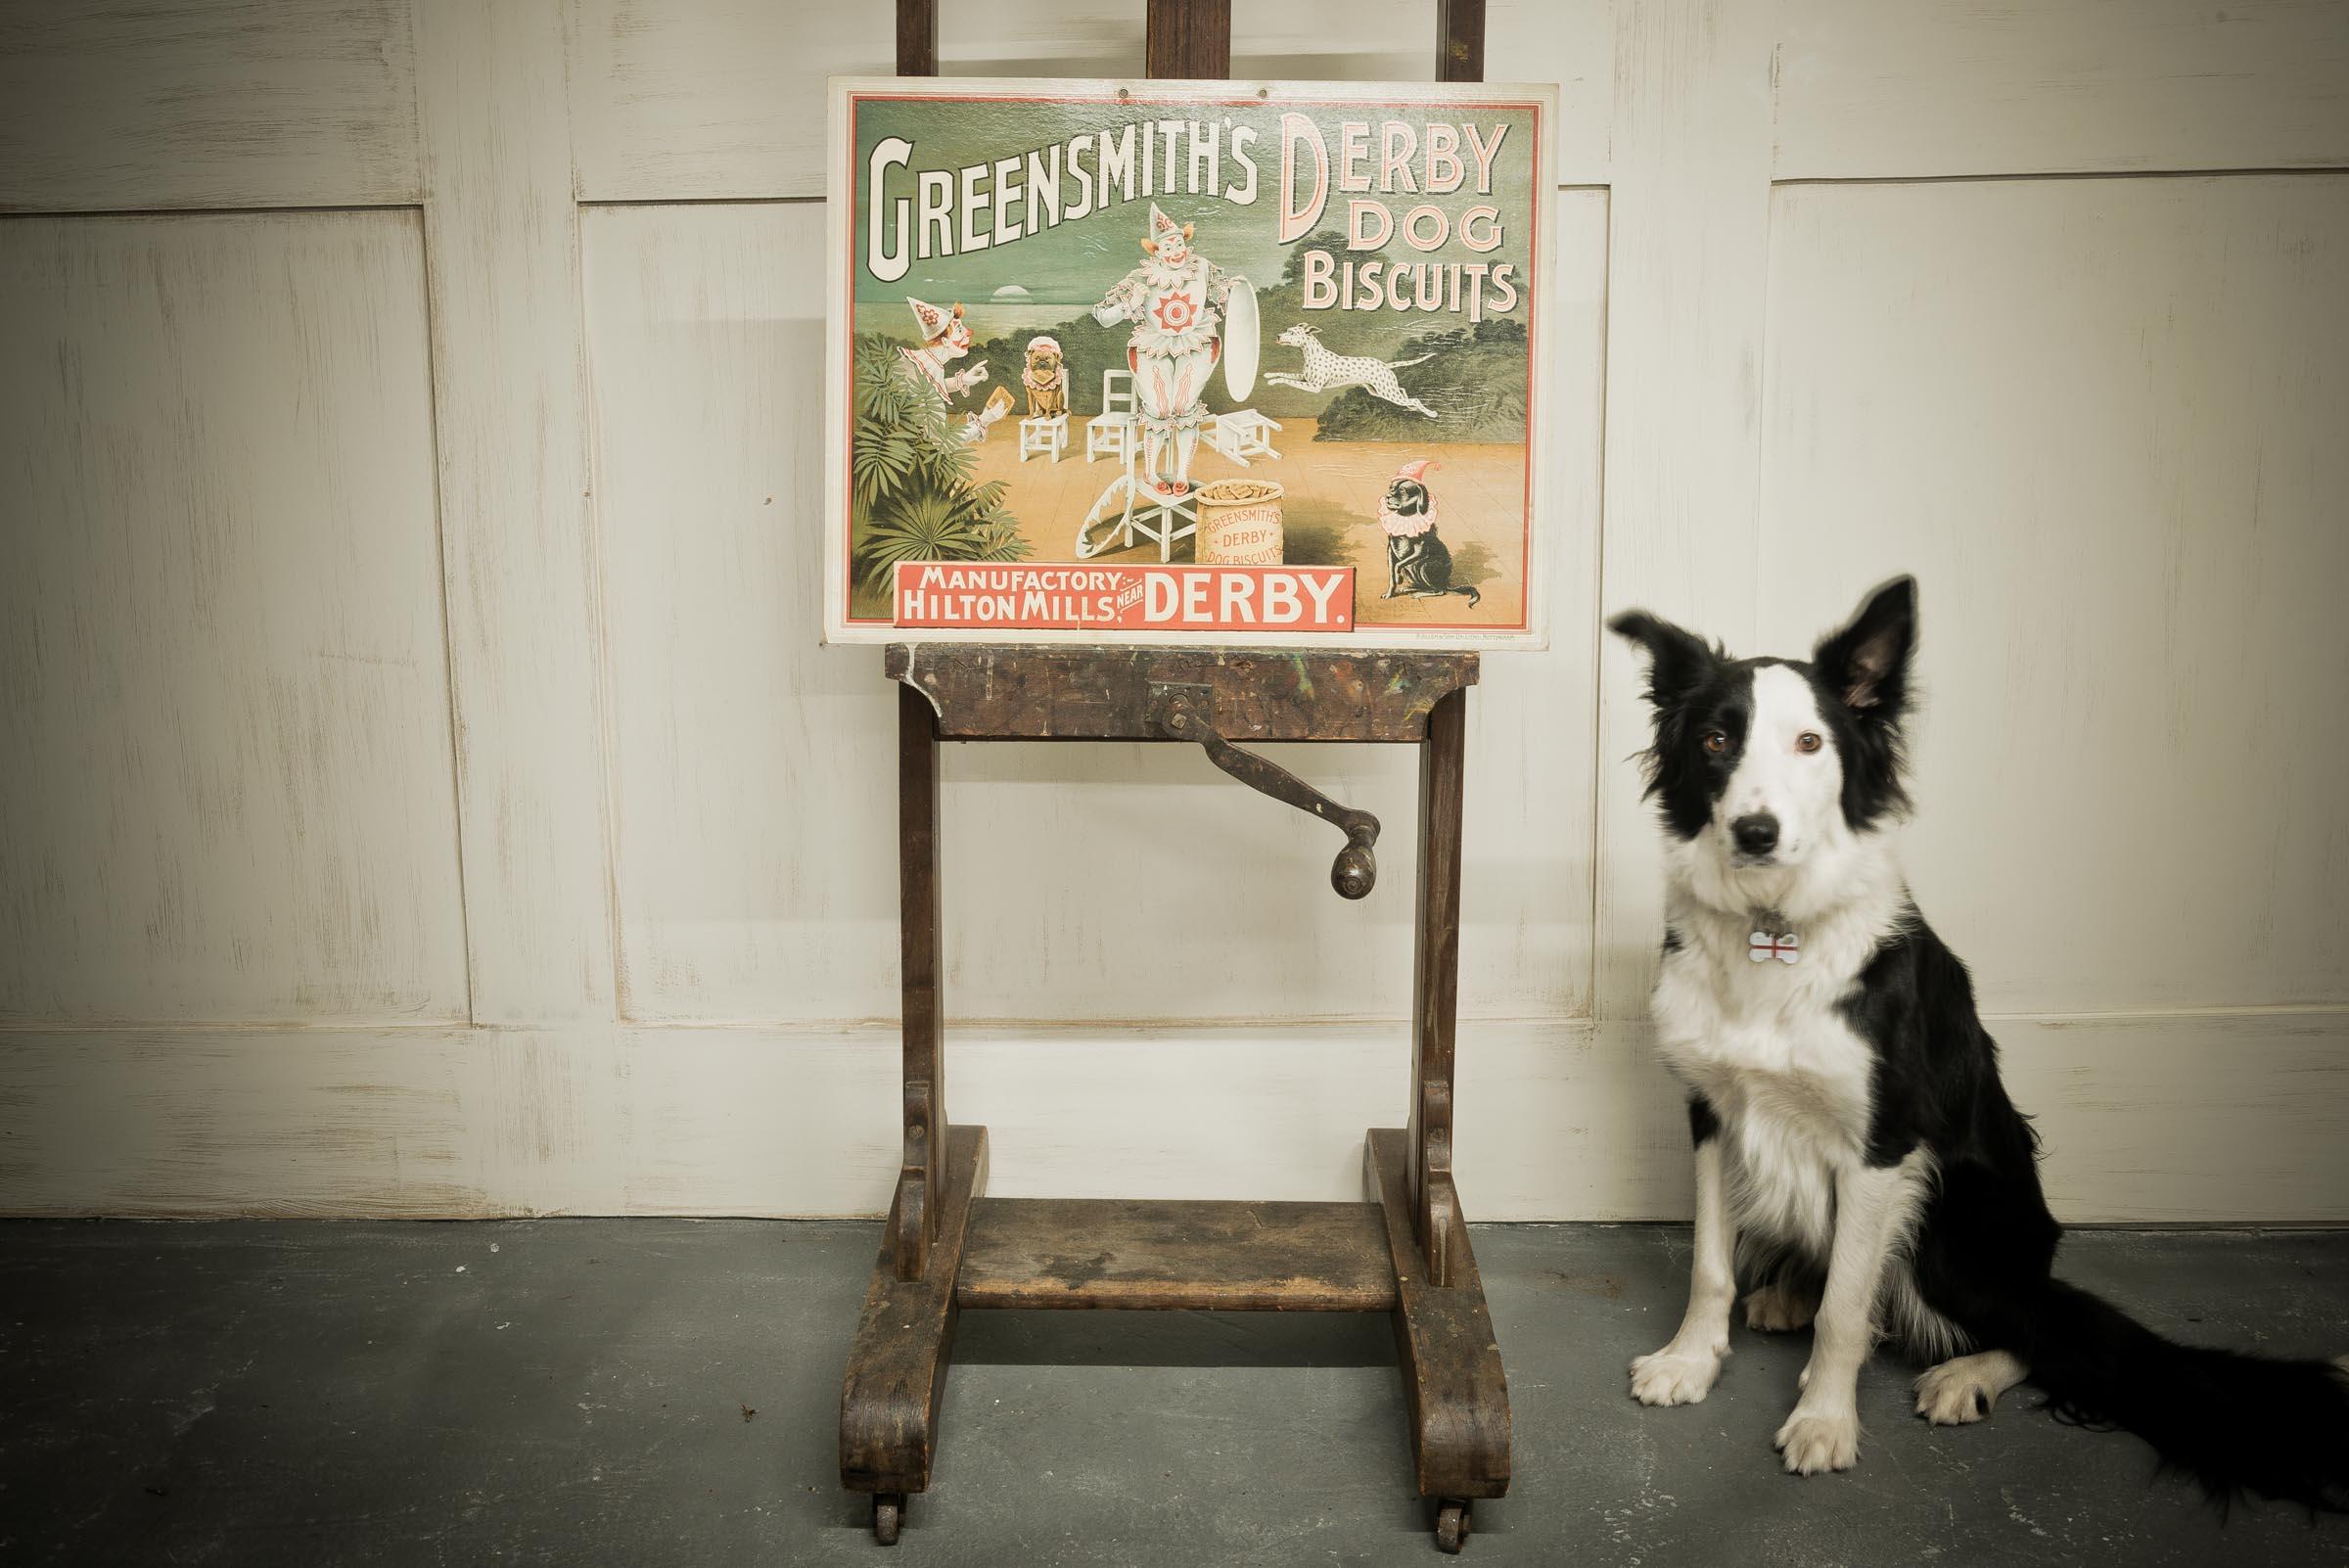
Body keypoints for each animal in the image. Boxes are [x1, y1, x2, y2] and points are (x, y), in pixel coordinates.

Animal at [1381, 460, 1475, 605]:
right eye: (1391, 488)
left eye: (1402, 490)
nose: (1387, 497)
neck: (1406, 517)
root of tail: (1446, 583)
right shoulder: (1390, 550)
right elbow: (1392, 573)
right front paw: (1390, 593)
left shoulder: (1420, 550)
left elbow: (1397, 566)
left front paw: (1398, 578)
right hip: (1411, 570)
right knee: (1425, 586)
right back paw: (1410, 588)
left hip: (1424, 566)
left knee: (1439, 591)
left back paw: (1420, 593)